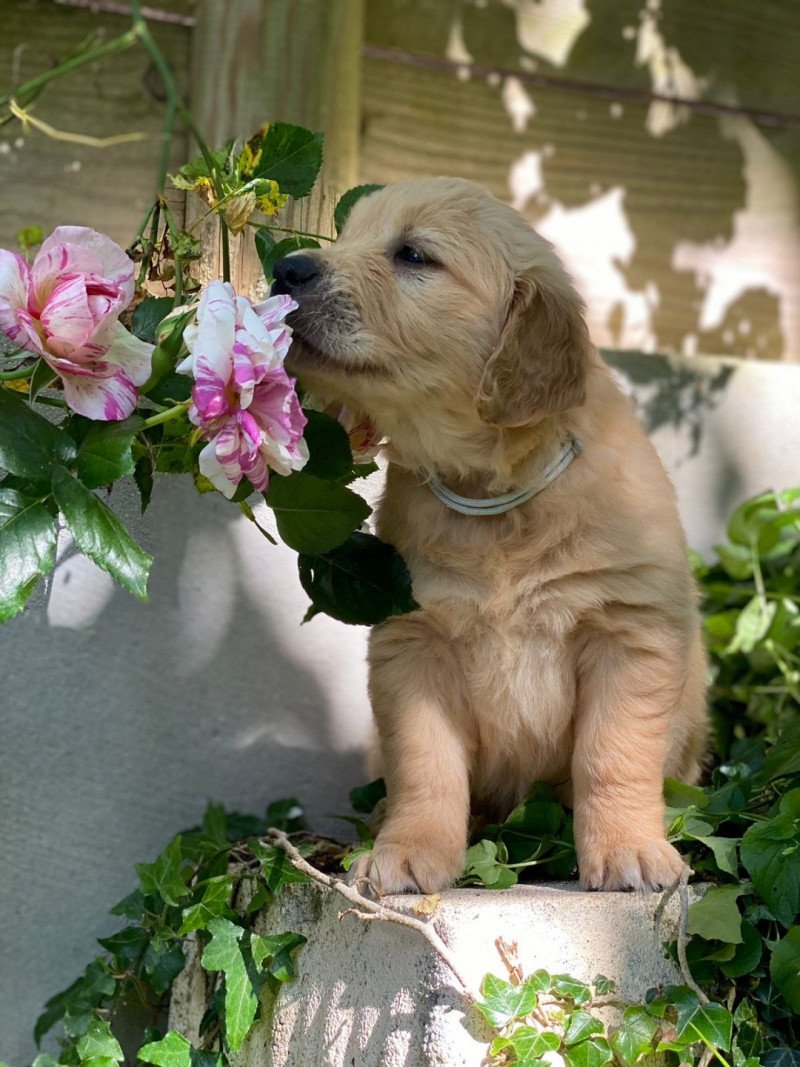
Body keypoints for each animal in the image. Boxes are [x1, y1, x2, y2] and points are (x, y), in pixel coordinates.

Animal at [275, 177, 708, 892]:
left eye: (414, 255)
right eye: (346, 237)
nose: (285, 269)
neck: (495, 501)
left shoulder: (629, 634)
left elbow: (612, 756)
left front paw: (628, 850)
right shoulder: (415, 642)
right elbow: (426, 766)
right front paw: (407, 852)